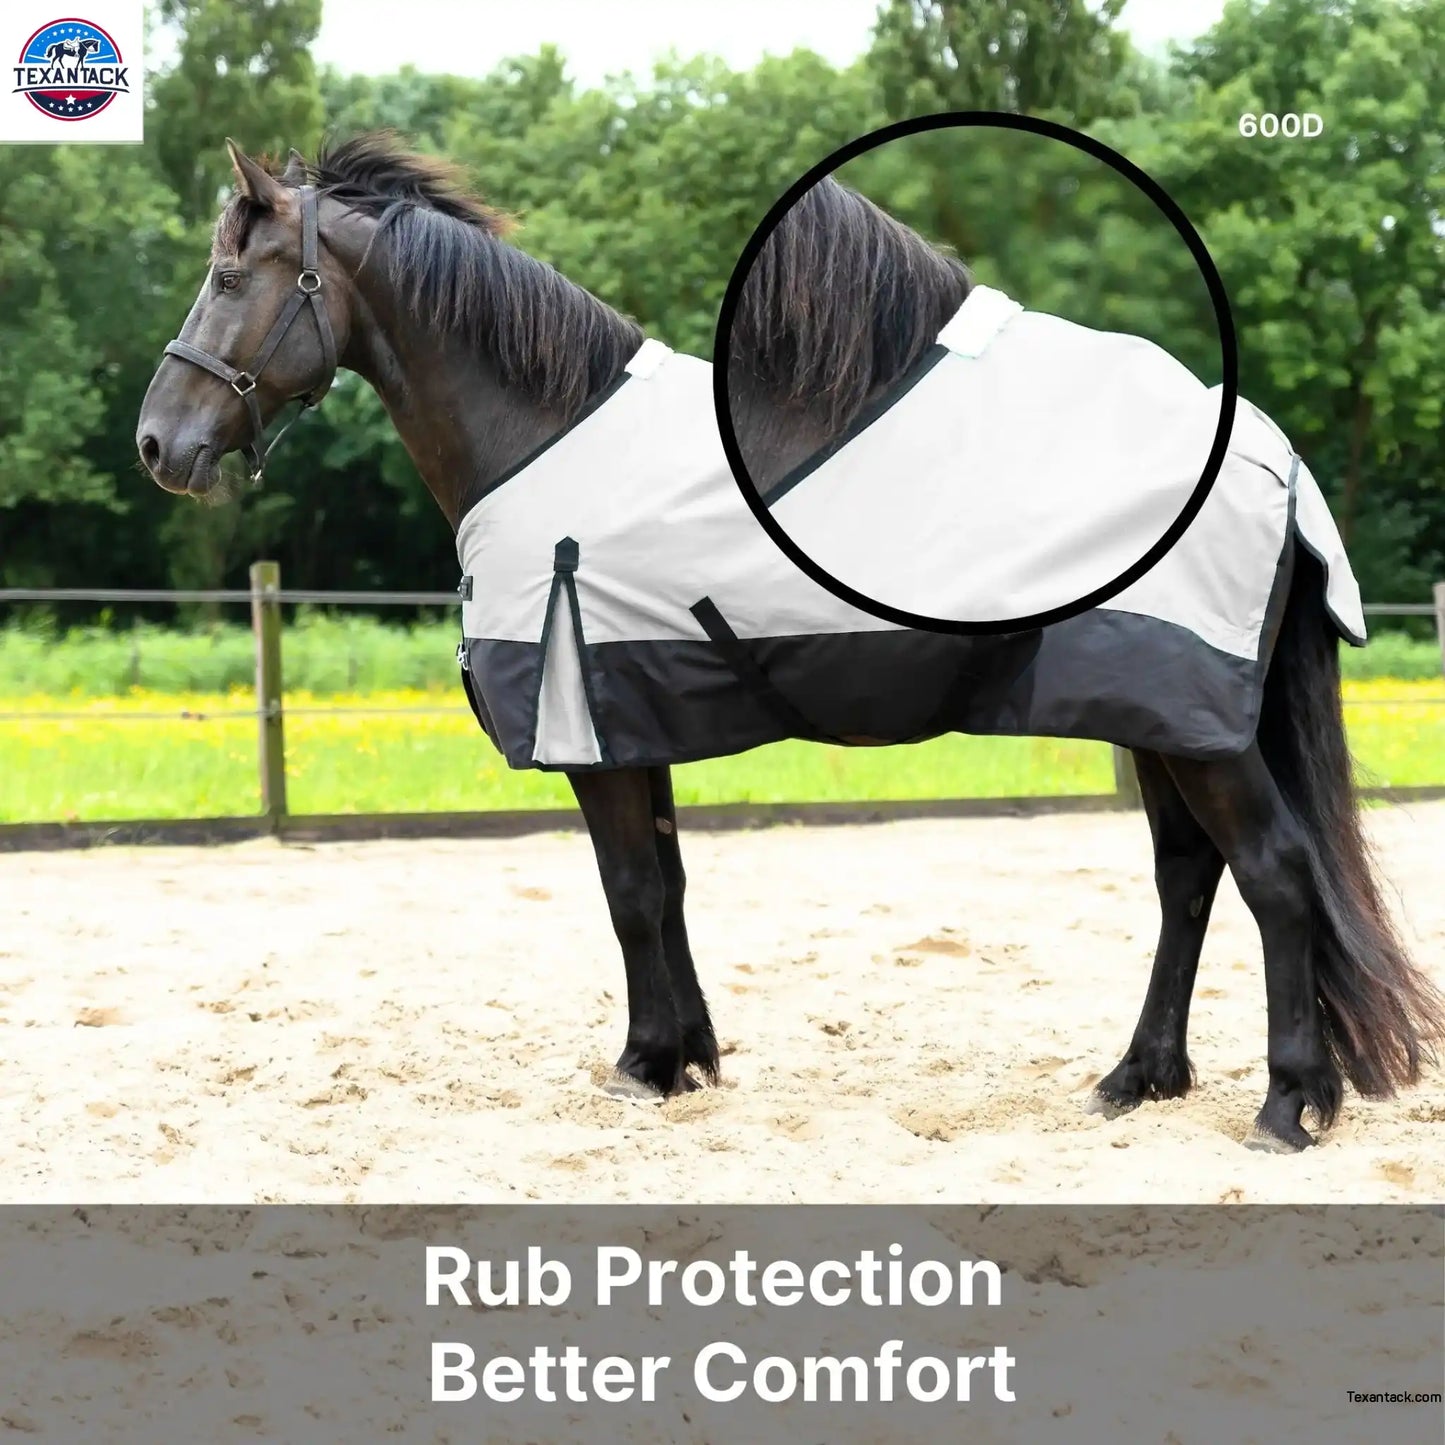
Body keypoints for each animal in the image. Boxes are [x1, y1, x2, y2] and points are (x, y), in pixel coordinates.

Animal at [136, 134, 1444, 1153]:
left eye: (227, 273)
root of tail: (1270, 454)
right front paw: (688, 1057)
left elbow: (626, 892)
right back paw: (1135, 1079)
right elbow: (663, 885)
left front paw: (642, 1064)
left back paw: (1286, 1106)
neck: (541, 431)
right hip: (1158, 714)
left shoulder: (591, 724)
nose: (159, 443)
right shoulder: (633, 713)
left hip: (1193, 722)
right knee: (1188, 877)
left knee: (1272, 873)